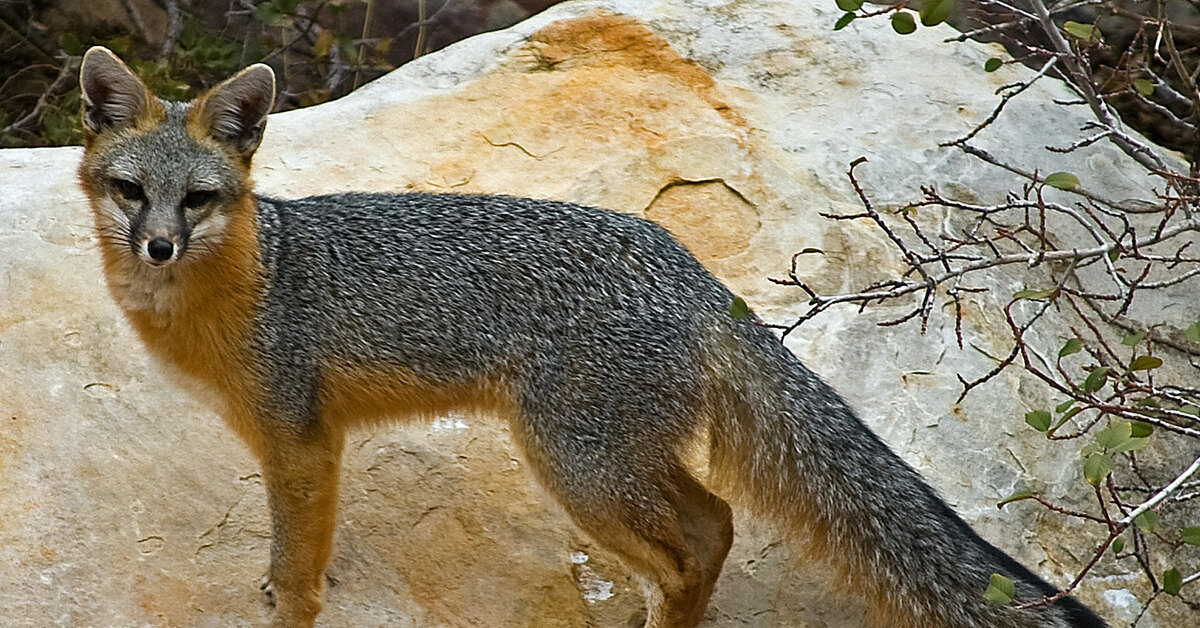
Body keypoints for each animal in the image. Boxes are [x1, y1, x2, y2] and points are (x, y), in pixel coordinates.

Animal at [72, 45, 1104, 628]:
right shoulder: (302, 443)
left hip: (576, 463)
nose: (157, 244)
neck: (242, 282)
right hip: (612, 457)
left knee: (697, 537)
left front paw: (287, 607)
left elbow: (297, 574)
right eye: (131, 191)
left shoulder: (300, 441)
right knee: (715, 524)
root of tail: (690, 269)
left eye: (198, 200)